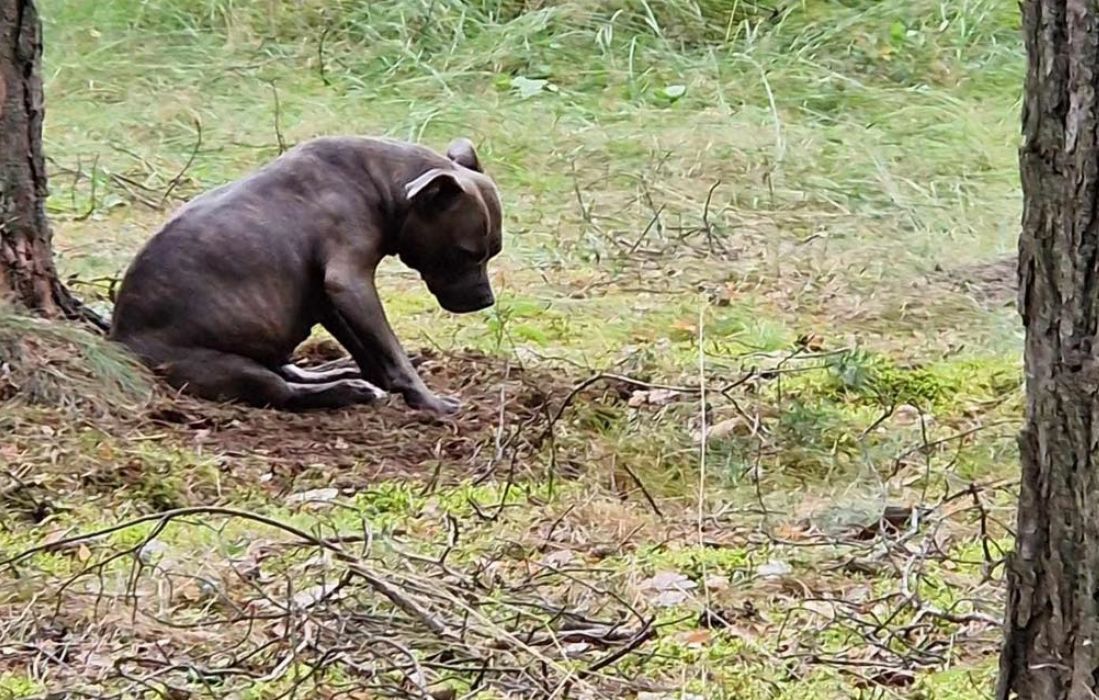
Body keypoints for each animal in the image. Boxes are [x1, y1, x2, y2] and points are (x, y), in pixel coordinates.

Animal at [109, 133, 503, 413]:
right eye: (467, 253)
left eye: (494, 251)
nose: (486, 300)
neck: (382, 183)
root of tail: (122, 343)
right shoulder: (350, 284)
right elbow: (391, 350)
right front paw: (428, 401)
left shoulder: (328, 299)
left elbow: (368, 348)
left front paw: (381, 379)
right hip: (230, 368)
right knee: (284, 391)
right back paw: (345, 390)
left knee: (288, 370)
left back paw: (339, 372)